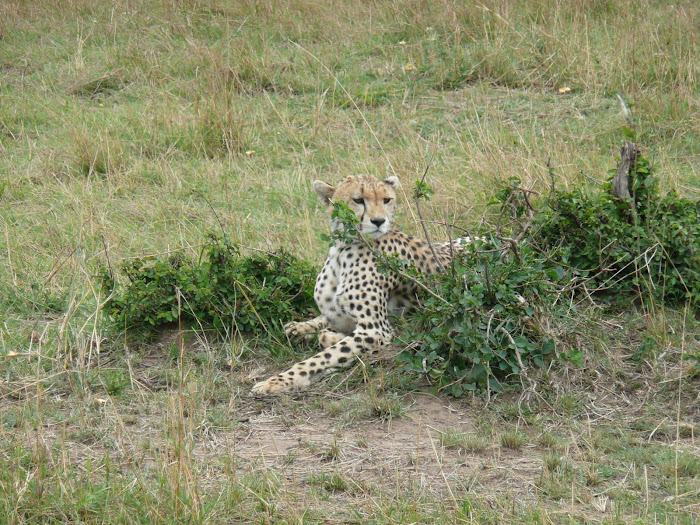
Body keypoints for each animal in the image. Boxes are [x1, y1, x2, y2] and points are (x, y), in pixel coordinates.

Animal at [252, 174, 470, 390]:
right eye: (358, 200)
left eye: (386, 200)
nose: (379, 221)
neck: (341, 250)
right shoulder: (342, 316)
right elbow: (327, 330)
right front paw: (312, 330)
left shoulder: (375, 331)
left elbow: (321, 356)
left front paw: (277, 381)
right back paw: (298, 327)